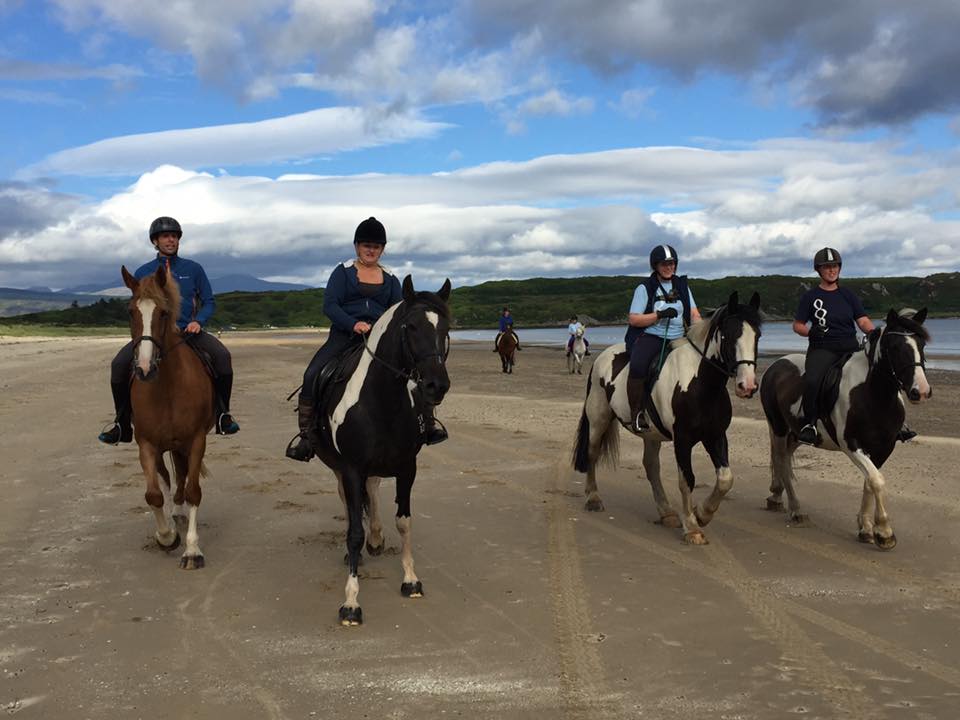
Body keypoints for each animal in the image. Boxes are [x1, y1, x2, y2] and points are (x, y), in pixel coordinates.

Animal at [122, 264, 214, 568]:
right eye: (131, 311)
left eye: (163, 313)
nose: (144, 368)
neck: (168, 387)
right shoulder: (147, 444)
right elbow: (153, 494)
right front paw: (167, 537)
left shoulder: (196, 441)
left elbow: (194, 490)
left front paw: (192, 550)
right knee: (166, 477)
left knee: (183, 477)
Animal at [312, 276, 454, 624]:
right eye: (411, 327)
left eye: (445, 327)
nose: (436, 386)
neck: (381, 400)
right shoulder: (350, 468)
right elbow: (353, 531)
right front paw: (351, 601)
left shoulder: (406, 467)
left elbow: (403, 522)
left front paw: (410, 580)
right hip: (338, 468)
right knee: (350, 504)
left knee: (373, 490)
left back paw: (376, 538)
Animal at [572, 290, 760, 544]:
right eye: (728, 336)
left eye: (757, 335)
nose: (747, 386)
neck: (700, 383)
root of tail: (602, 357)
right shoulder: (683, 439)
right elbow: (686, 479)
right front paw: (692, 526)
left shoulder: (716, 435)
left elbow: (725, 478)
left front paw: (702, 514)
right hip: (598, 419)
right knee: (592, 453)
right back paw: (593, 498)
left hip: (650, 432)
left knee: (651, 466)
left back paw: (666, 512)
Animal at [756, 306, 928, 548]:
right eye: (895, 347)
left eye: (921, 345)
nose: (920, 391)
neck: (872, 395)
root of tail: (777, 364)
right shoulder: (851, 445)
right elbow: (877, 480)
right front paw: (884, 532)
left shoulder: (883, 448)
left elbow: (870, 482)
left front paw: (866, 528)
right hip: (779, 427)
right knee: (781, 460)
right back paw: (796, 510)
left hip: (796, 434)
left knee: (785, 461)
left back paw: (777, 496)